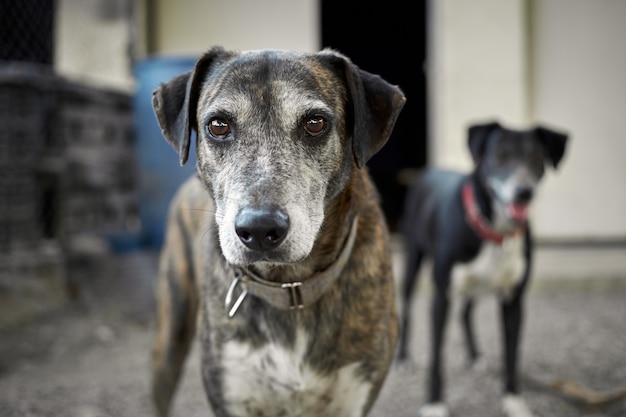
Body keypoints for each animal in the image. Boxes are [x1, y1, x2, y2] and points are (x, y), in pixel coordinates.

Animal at [151, 46, 404, 416]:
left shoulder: (353, 394)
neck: (290, 285)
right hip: (171, 331)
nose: (258, 229)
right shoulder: (232, 392)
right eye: (218, 125)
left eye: (315, 123)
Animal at [398, 120, 568, 416]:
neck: (493, 231)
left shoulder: (514, 301)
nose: (524, 193)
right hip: (413, 258)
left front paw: (514, 402)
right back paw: (403, 357)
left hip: (477, 283)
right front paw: (435, 403)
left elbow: (511, 356)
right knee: (407, 307)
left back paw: (474, 355)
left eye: (537, 158)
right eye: (499, 155)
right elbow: (436, 357)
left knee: (466, 313)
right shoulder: (441, 298)